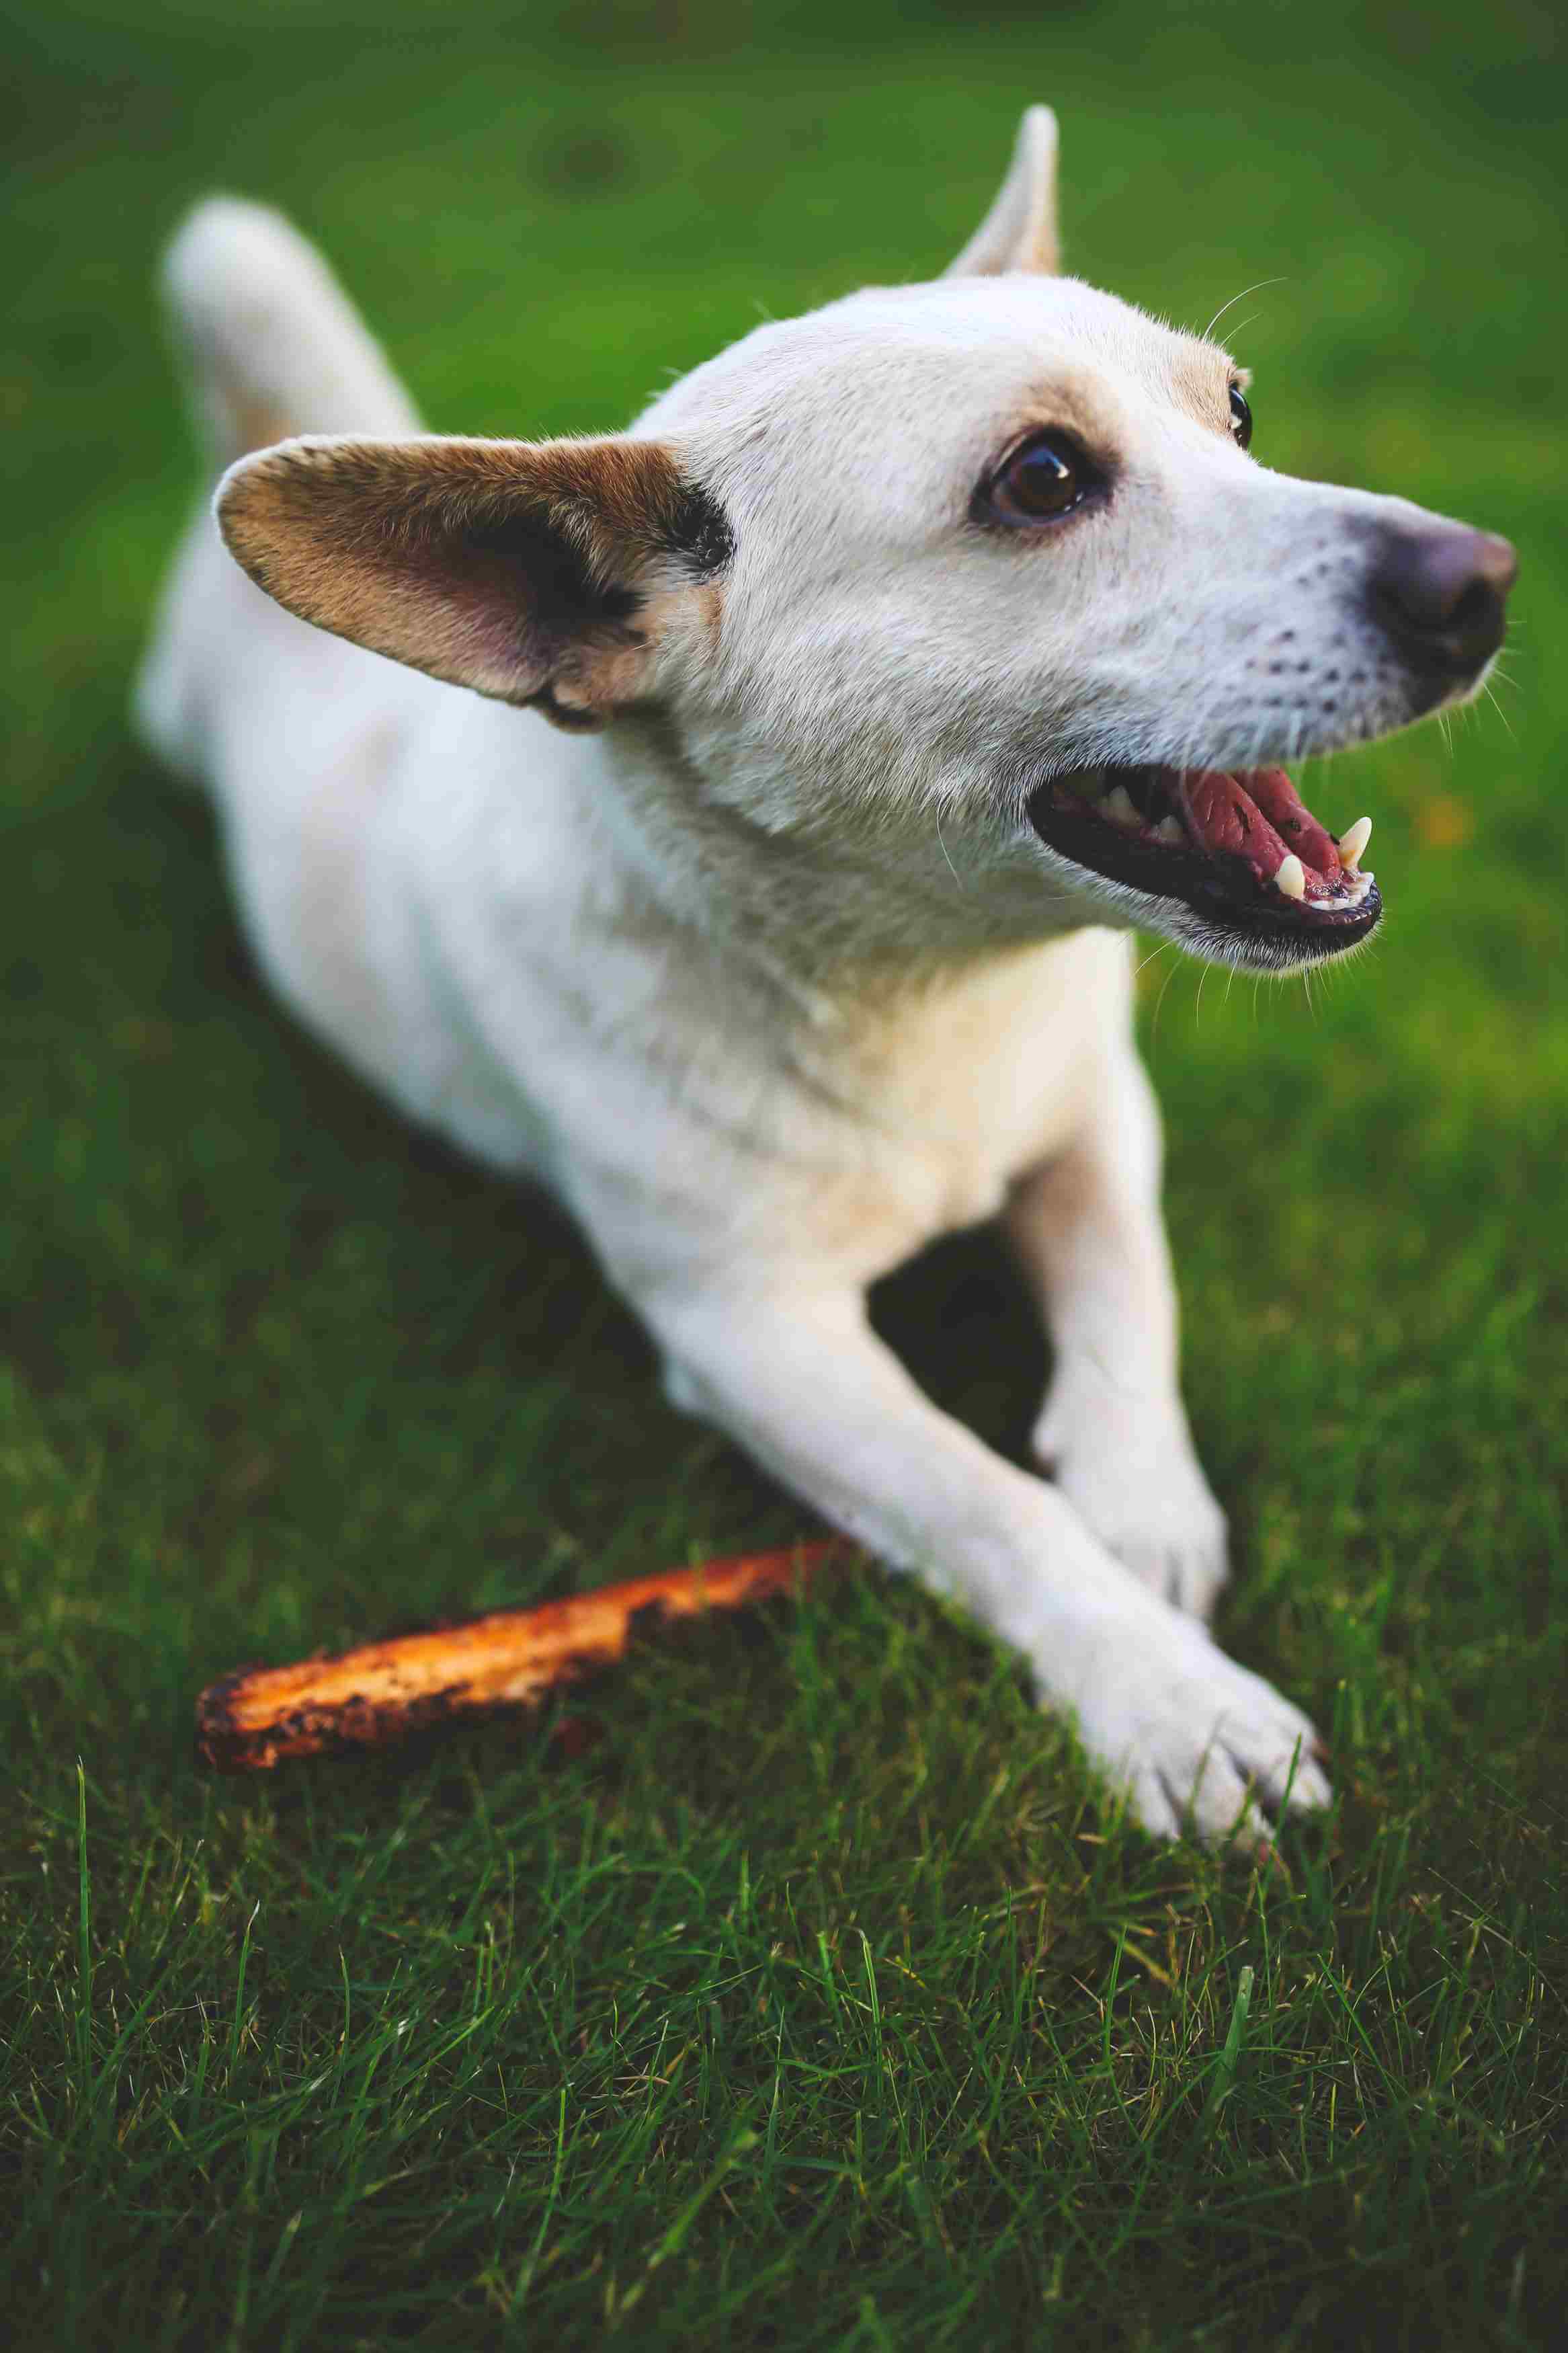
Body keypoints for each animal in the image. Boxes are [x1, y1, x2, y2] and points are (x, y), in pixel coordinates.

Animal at [138, 106, 1523, 1835]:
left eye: (1238, 413)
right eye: (1042, 478)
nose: (1483, 579)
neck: (925, 991)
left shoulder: (1095, 1125)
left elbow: (1128, 1311)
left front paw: (1146, 1514)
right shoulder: (750, 1335)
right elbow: (987, 1502)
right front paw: (1166, 1694)